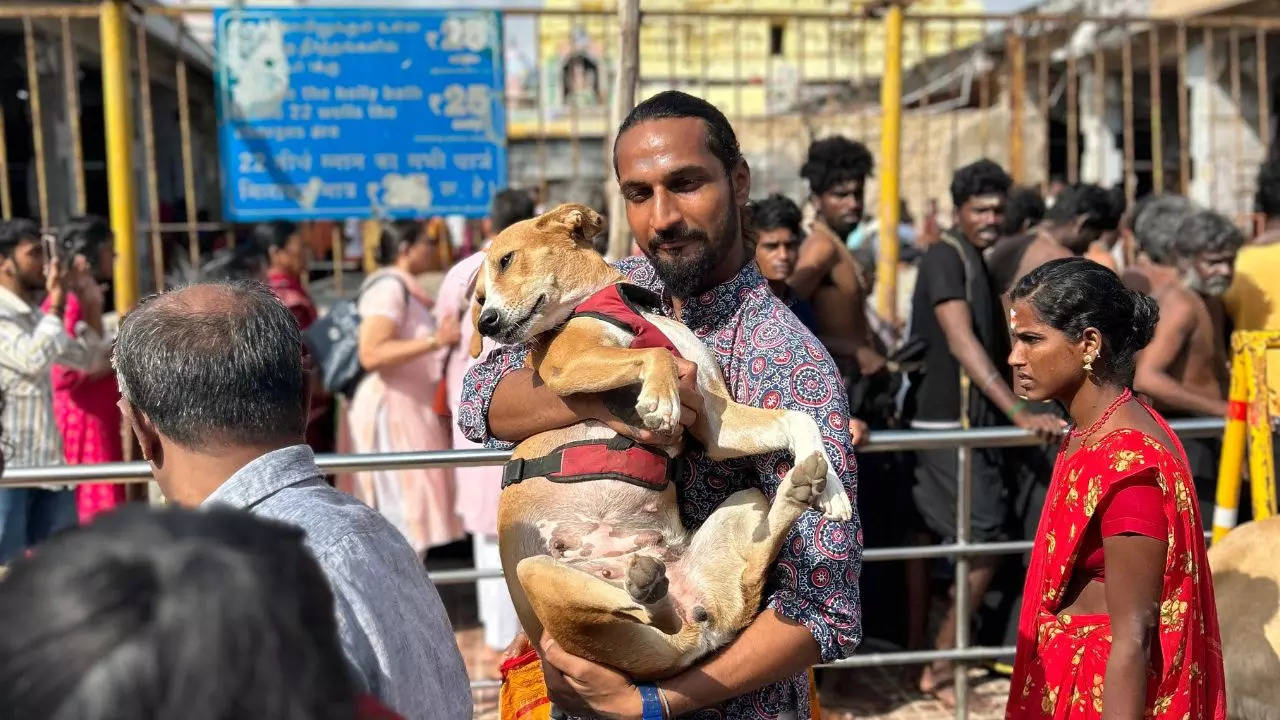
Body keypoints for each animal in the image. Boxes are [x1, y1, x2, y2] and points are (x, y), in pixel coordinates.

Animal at [471, 203, 849, 676]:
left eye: (506, 260)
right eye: (479, 298)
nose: (485, 323)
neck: (618, 304)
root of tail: (693, 636)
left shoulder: (717, 423)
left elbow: (797, 418)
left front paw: (833, 488)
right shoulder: (566, 365)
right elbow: (653, 354)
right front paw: (659, 398)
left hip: (744, 503)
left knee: (747, 579)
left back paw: (799, 490)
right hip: (535, 572)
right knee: (649, 610)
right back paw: (648, 587)